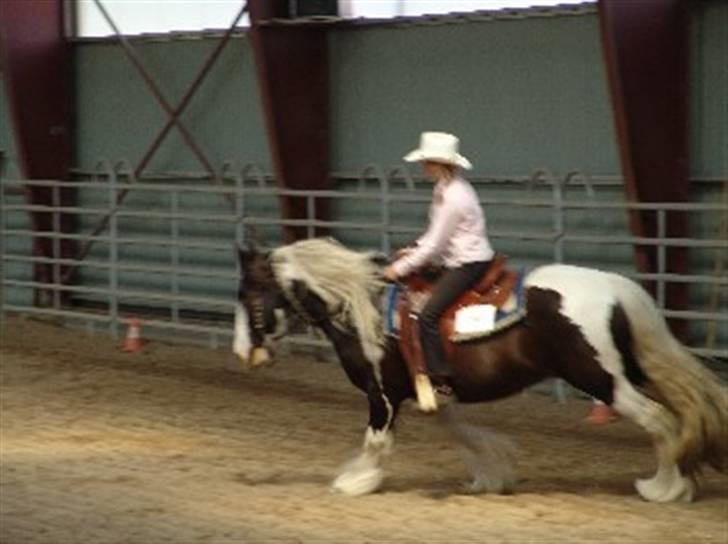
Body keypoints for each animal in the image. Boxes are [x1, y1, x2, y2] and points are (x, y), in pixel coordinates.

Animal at [235, 238, 728, 502]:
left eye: (250, 296)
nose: (243, 353)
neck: (362, 308)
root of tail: (618, 288)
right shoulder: (427, 393)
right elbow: (460, 433)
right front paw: (492, 472)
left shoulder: (382, 394)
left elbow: (376, 441)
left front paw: (356, 481)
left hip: (604, 381)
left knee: (661, 421)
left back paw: (664, 489)